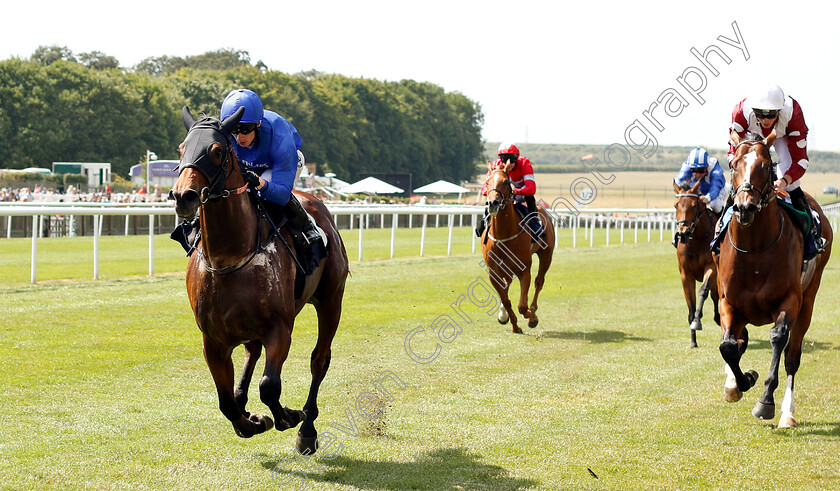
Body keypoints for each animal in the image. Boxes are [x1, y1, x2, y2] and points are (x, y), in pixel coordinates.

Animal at [169, 106, 350, 454]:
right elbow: (225, 401)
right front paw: (250, 421)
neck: (230, 257)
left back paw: (307, 429)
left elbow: (270, 386)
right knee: (252, 352)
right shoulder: (213, 340)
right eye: (182, 148)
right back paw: (244, 399)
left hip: (331, 300)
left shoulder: (279, 328)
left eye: (216, 150)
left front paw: (288, 417)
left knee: (319, 360)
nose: (183, 196)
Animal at [482, 161, 556, 334]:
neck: (503, 235)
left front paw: (531, 317)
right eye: (487, 182)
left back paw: (533, 311)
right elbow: (505, 299)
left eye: (505, 182)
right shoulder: (493, 271)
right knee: (507, 283)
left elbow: (522, 305)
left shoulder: (524, 269)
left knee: (539, 282)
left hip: (546, 255)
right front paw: (513, 324)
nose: (492, 203)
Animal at [672, 181, 720, 350]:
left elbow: (703, 291)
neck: (697, 239)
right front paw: (693, 340)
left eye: (694, 205)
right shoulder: (686, 274)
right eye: (676, 205)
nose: (683, 233)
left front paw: (697, 321)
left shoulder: (711, 267)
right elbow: (691, 305)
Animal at [720, 137, 832, 426]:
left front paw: (765, 402)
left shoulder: (790, 300)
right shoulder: (728, 302)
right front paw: (741, 381)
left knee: (792, 356)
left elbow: (779, 339)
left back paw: (787, 413)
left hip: (808, 300)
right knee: (739, 341)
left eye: (764, 165)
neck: (754, 251)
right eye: (733, 165)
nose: (745, 207)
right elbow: (728, 346)